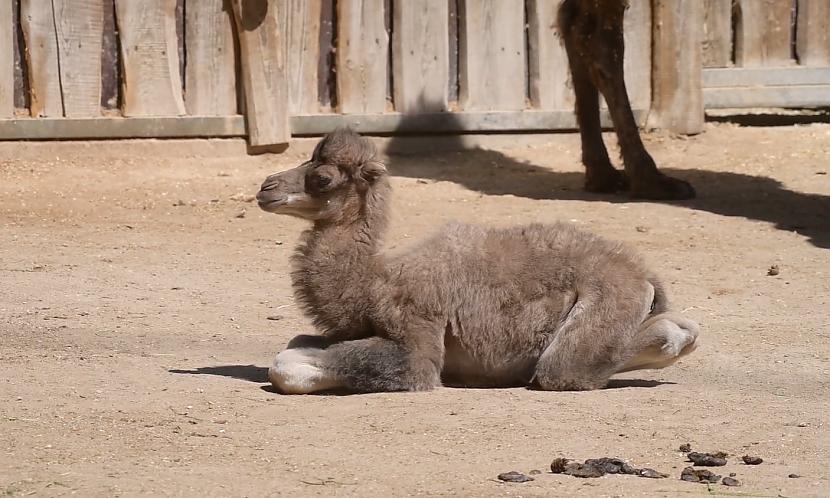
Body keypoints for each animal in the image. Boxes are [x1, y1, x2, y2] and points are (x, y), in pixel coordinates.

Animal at [256, 130, 700, 394]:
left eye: (323, 178)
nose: (265, 188)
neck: (373, 281)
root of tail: (644, 276)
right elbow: (294, 345)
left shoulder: (414, 329)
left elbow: (286, 365)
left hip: (604, 303)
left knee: (565, 367)